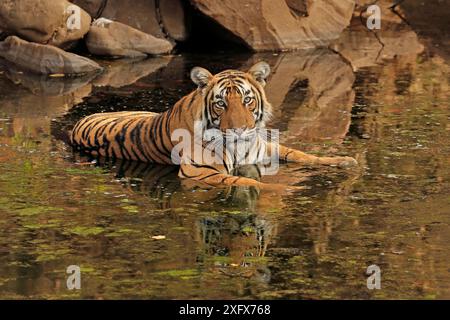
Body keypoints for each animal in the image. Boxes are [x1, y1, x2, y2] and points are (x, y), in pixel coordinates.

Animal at [70, 61, 358, 189]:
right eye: (221, 103)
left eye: (247, 100)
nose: (240, 129)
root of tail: (81, 119)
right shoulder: (200, 171)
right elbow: (248, 182)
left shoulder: (264, 149)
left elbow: (302, 154)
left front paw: (344, 161)